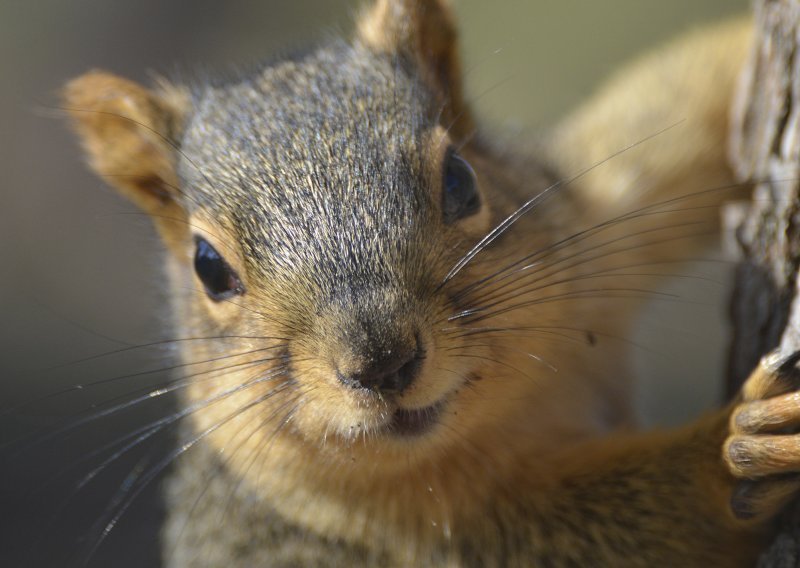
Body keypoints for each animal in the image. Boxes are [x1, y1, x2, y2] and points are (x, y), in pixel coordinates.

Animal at [64, 0, 800, 564]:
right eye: (208, 268)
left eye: (460, 180)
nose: (382, 362)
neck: (521, 406)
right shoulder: (427, 540)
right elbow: (607, 530)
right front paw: (731, 448)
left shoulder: (590, 217)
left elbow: (679, 107)